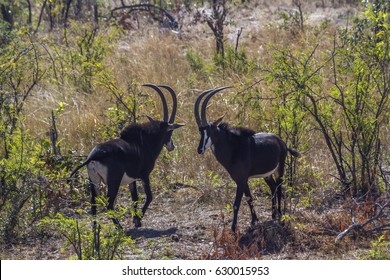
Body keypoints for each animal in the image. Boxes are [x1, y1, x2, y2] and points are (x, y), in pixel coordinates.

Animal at [70, 84, 183, 229]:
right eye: (169, 132)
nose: (171, 146)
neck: (144, 140)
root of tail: (94, 156)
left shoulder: (131, 179)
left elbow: (135, 198)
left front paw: (136, 220)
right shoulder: (144, 175)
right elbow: (149, 196)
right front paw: (138, 220)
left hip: (94, 181)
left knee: (93, 203)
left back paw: (95, 229)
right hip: (114, 181)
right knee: (109, 203)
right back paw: (119, 227)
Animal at [195, 86, 302, 233]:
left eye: (210, 131)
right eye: (200, 131)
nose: (200, 150)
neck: (234, 148)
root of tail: (281, 142)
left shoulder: (241, 180)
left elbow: (237, 203)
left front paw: (233, 228)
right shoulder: (241, 179)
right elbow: (249, 198)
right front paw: (253, 221)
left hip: (280, 168)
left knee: (279, 186)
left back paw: (280, 214)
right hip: (267, 174)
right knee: (273, 186)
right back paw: (273, 214)